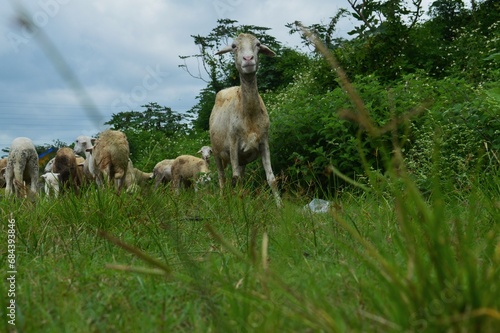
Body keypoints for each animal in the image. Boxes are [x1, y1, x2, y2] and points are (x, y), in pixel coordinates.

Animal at [209, 33, 282, 205]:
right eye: (234, 46)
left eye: (258, 44)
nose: (248, 59)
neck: (248, 115)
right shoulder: (233, 143)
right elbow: (234, 179)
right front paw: (238, 207)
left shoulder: (263, 142)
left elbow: (271, 179)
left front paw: (280, 206)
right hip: (216, 152)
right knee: (222, 179)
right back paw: (223, 199)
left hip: (242, 159)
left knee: (240, 179)